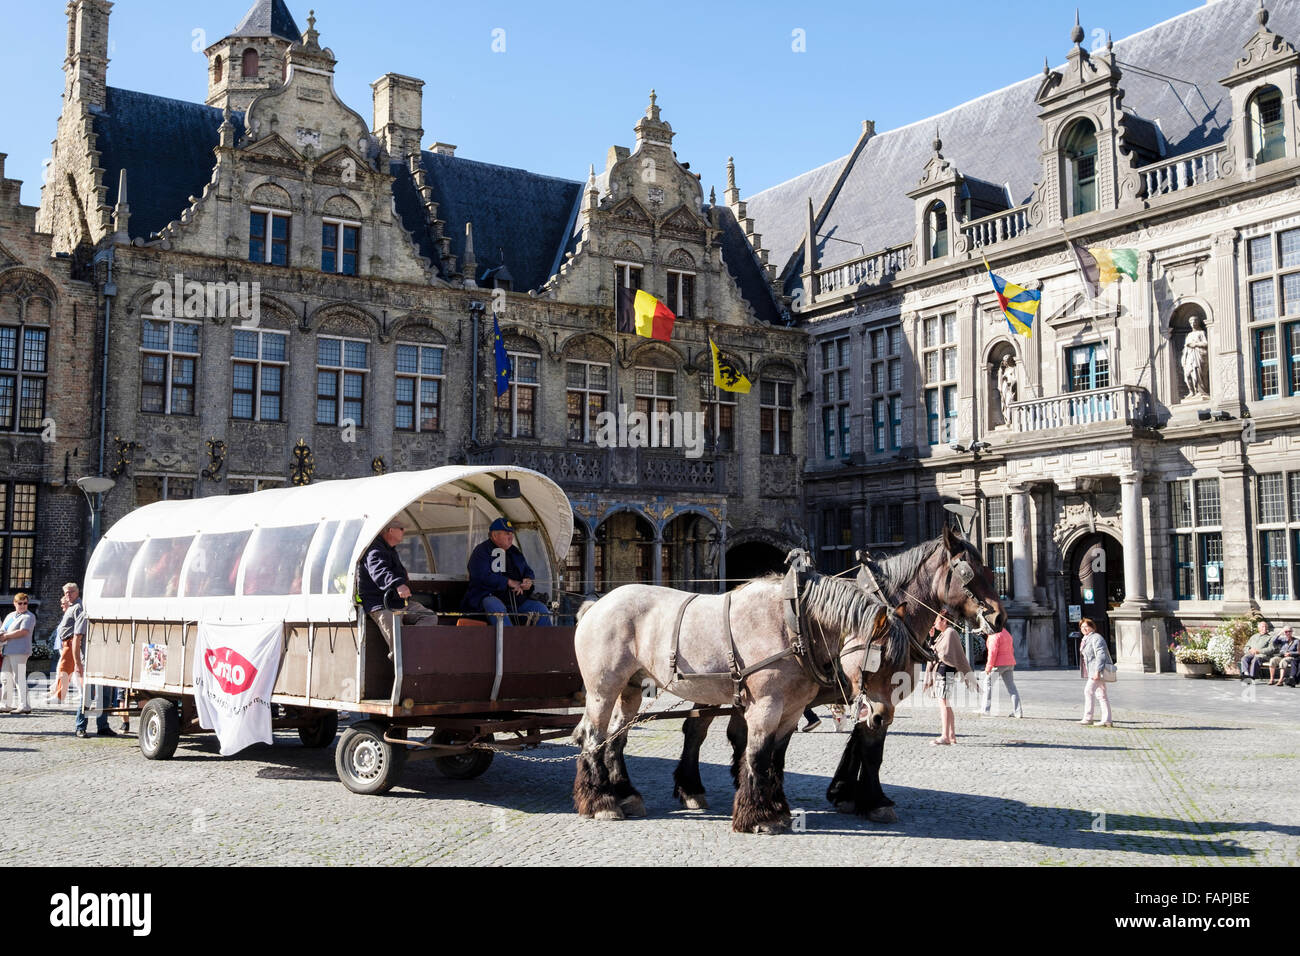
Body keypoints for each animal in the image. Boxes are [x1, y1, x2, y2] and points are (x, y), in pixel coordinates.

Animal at [572, 556, 903, 833]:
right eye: (879, 660)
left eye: (901, 662)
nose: (881, 716)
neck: (793, 624)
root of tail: (596, 605)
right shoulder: (766, 706)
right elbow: (757, 755)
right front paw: (758, 817)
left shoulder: (793, 709)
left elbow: (775, 759)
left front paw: (777, 811)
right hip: (602, 688)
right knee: (593, 735)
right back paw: (601, 802)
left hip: (630, 688)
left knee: (616, 737)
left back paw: (626, 796)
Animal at [670, 524, 1007, 823]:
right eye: (969, 572)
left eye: (991, 571)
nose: (998, 617)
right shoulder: (871, 693)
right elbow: (870, 749)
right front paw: (873, 801)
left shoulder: (876, 697)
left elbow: (862, 743)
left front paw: (845, 792)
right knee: (696, 729)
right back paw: (692, 788)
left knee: (734, 732)